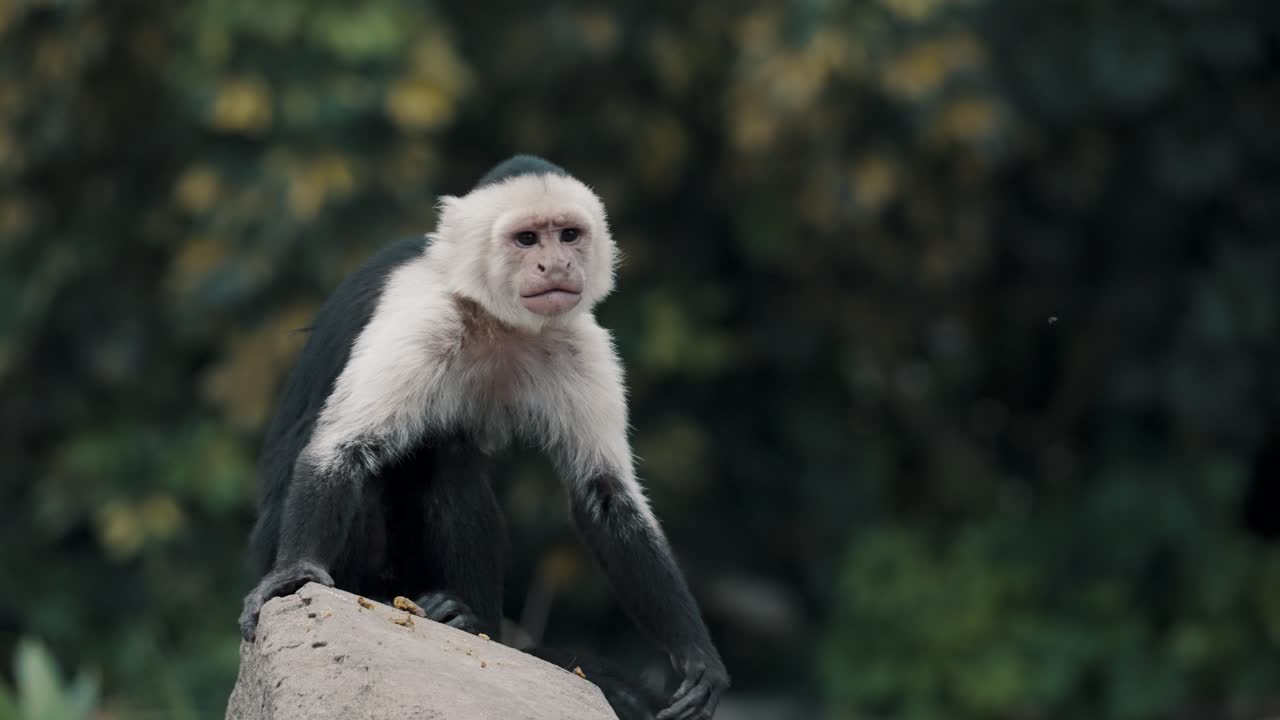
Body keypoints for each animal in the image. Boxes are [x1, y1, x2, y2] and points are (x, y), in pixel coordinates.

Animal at [238, 155, 729, 720]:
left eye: (568, 235)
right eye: (527, 239)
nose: (556, 266)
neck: (497, 318)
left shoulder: (582, 343)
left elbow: (606, 496)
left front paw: (696, 657)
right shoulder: (423, 315)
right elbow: (341, 450)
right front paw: (295, 572)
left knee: (450, 461)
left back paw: (468, 620)